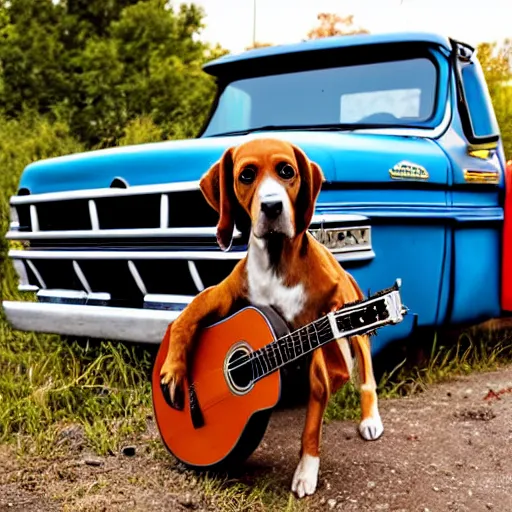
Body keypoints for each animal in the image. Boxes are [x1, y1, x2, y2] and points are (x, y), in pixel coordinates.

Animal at [160, 138, 384, 498]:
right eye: (246, 175)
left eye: (287, 171)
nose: (272, 207)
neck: (276, 262)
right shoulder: (223, 293)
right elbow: (188, 315)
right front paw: (173, 368)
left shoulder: (316, 336)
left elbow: (313, 422)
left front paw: (306, 470)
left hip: (351, 319)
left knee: (365, 369)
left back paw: (370, 418)